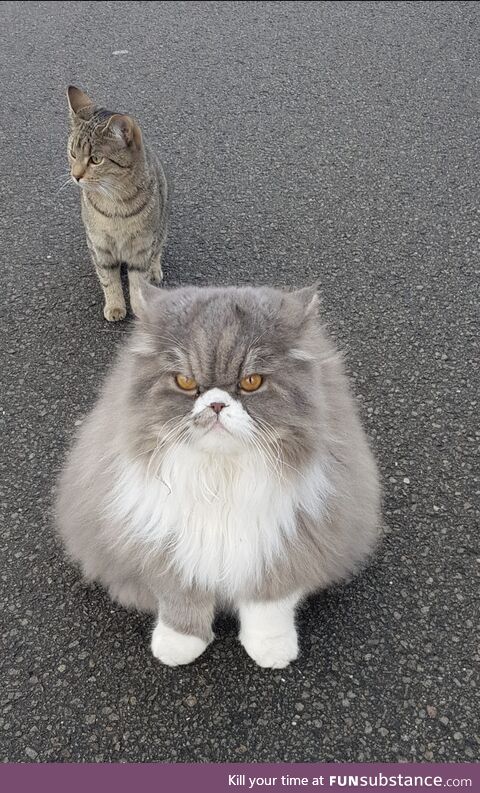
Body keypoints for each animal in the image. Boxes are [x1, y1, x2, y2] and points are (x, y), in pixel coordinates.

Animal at [55, 284, 378, 668]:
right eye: (185, 381)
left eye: (251, 382)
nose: (217, 404)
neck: (220, 478)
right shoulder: (167, 547)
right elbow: (181, 600)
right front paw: (178, 645)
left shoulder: (287, 543)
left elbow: (269, 605)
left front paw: (271, 650)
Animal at [66, 86, 169, 322]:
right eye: (73, 153)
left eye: (95, 159)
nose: (75, 175)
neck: (114, 203)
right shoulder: (99, 246)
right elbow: (108, 279)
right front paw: (115, 306)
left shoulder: (141, 247)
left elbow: (138, 283)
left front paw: (140, 308)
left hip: (161, 227)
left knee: (157, 251)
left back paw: (155, 270)